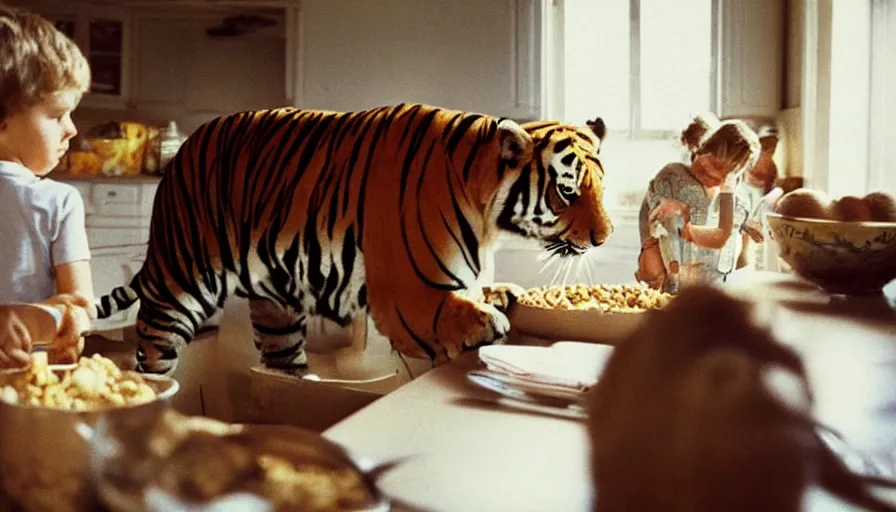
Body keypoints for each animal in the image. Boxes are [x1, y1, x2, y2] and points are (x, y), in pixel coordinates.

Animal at [96, 104, 616, 376]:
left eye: (599, 188)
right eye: (567, 191)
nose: (605, 238)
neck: (488, 214)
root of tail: (180, 153)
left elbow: (475, 288)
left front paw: (501, 292)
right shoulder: (406, 298)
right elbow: (448, 315)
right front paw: (484, 323)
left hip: (278, 307)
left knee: (279, 354)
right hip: (180, 286)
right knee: (151, 347)